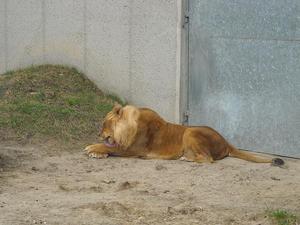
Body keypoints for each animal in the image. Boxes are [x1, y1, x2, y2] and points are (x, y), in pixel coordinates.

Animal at [84, 103, 284, 165]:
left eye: (104, 124)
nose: (99, 133)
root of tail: (226, 142)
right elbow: (109, 148)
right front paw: (96, 152)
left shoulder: (134, 149)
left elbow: (110, 147)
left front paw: (91, 148)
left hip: (190, 131)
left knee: (208, 159)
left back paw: (186, 159)